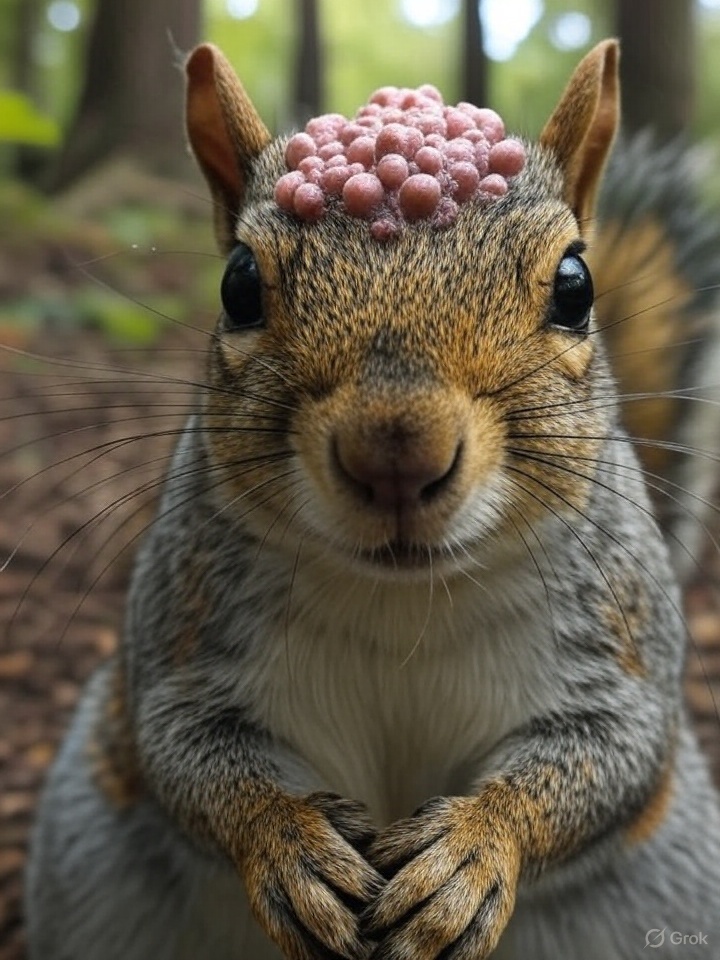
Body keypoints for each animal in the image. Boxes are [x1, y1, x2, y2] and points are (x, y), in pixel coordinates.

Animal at [25, 39, 720, 960]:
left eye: (575, 286)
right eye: (238, 285)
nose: (396, 454)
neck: (404, 605)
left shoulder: (622, 646)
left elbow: (614, 755)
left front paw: (470, 854)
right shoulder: (181, 634)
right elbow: (186, 754)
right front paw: (288, 843)